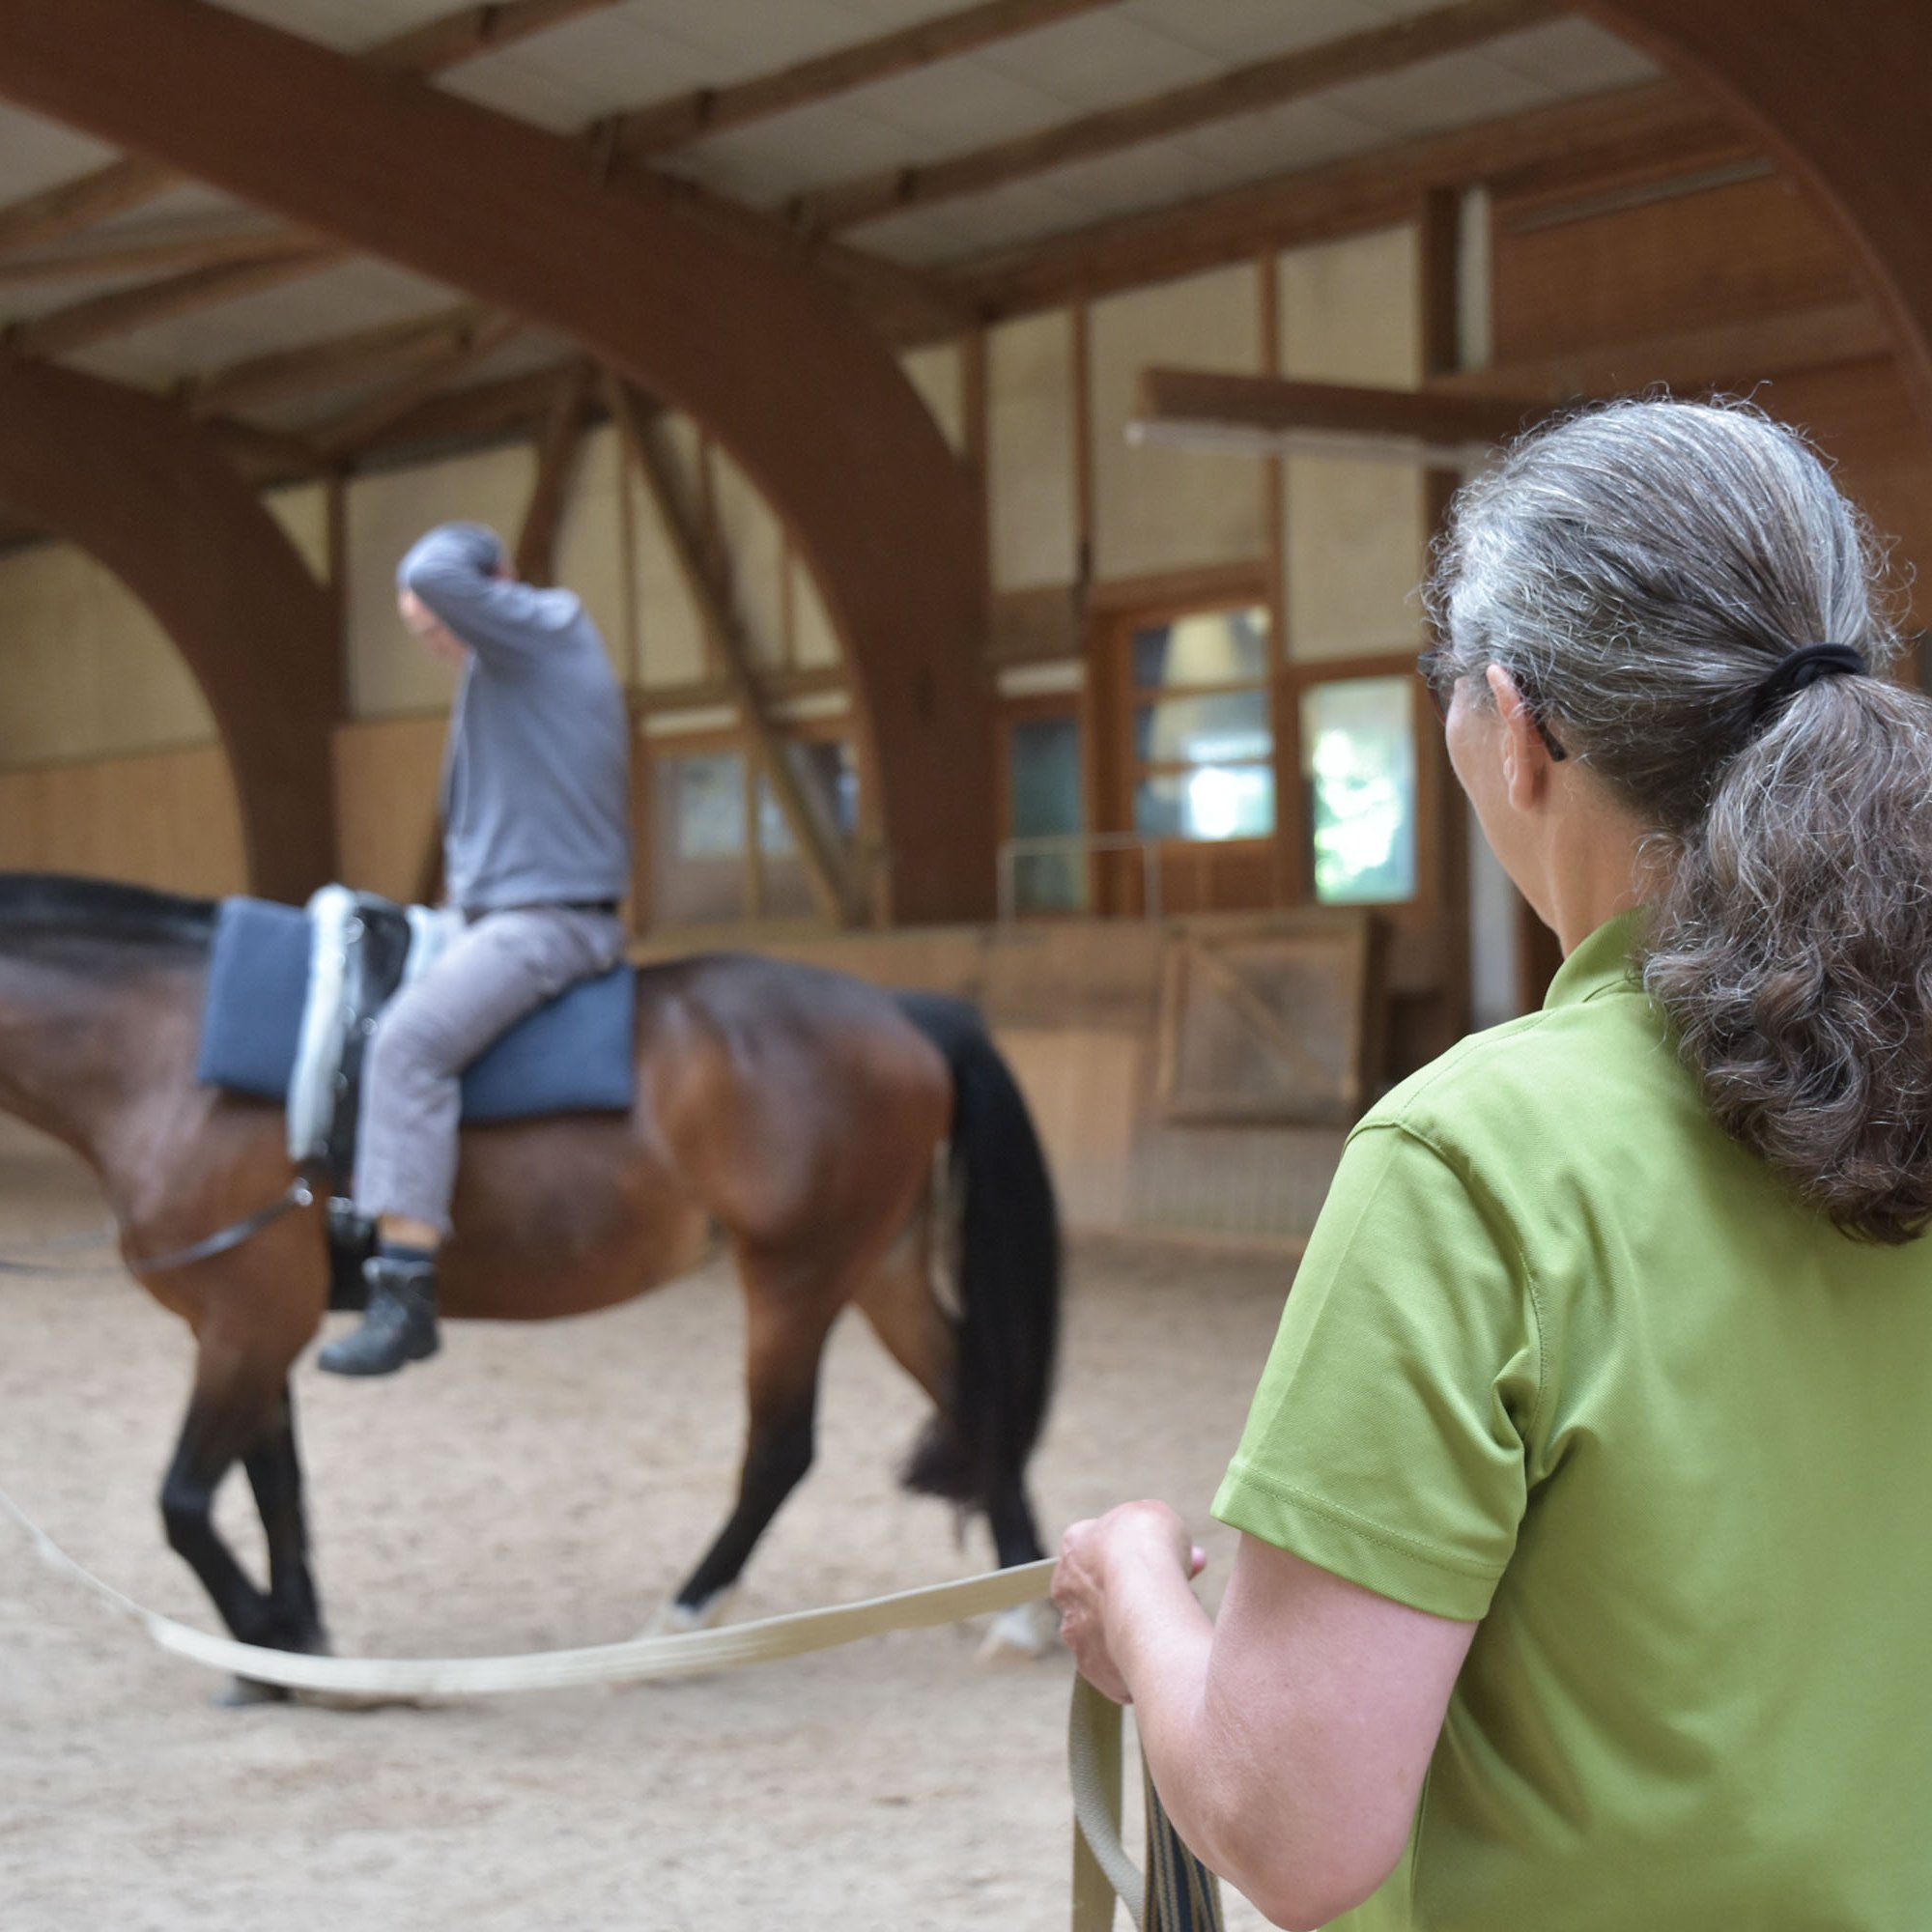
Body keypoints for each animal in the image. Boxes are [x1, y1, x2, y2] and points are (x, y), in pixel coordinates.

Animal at [0, 874, 1060, 1694]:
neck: (169, 1052)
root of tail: (903, 1009)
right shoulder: (245, 1326)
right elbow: (275, 1490)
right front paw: (290, 1650)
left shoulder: (248, 1320)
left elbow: (183, 1503)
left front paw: (270, 1648)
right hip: (877, 1267)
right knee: (972, 1399)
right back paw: (1021, 1612)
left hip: (796, 1277)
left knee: (779, 1451)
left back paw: (678, 1627)